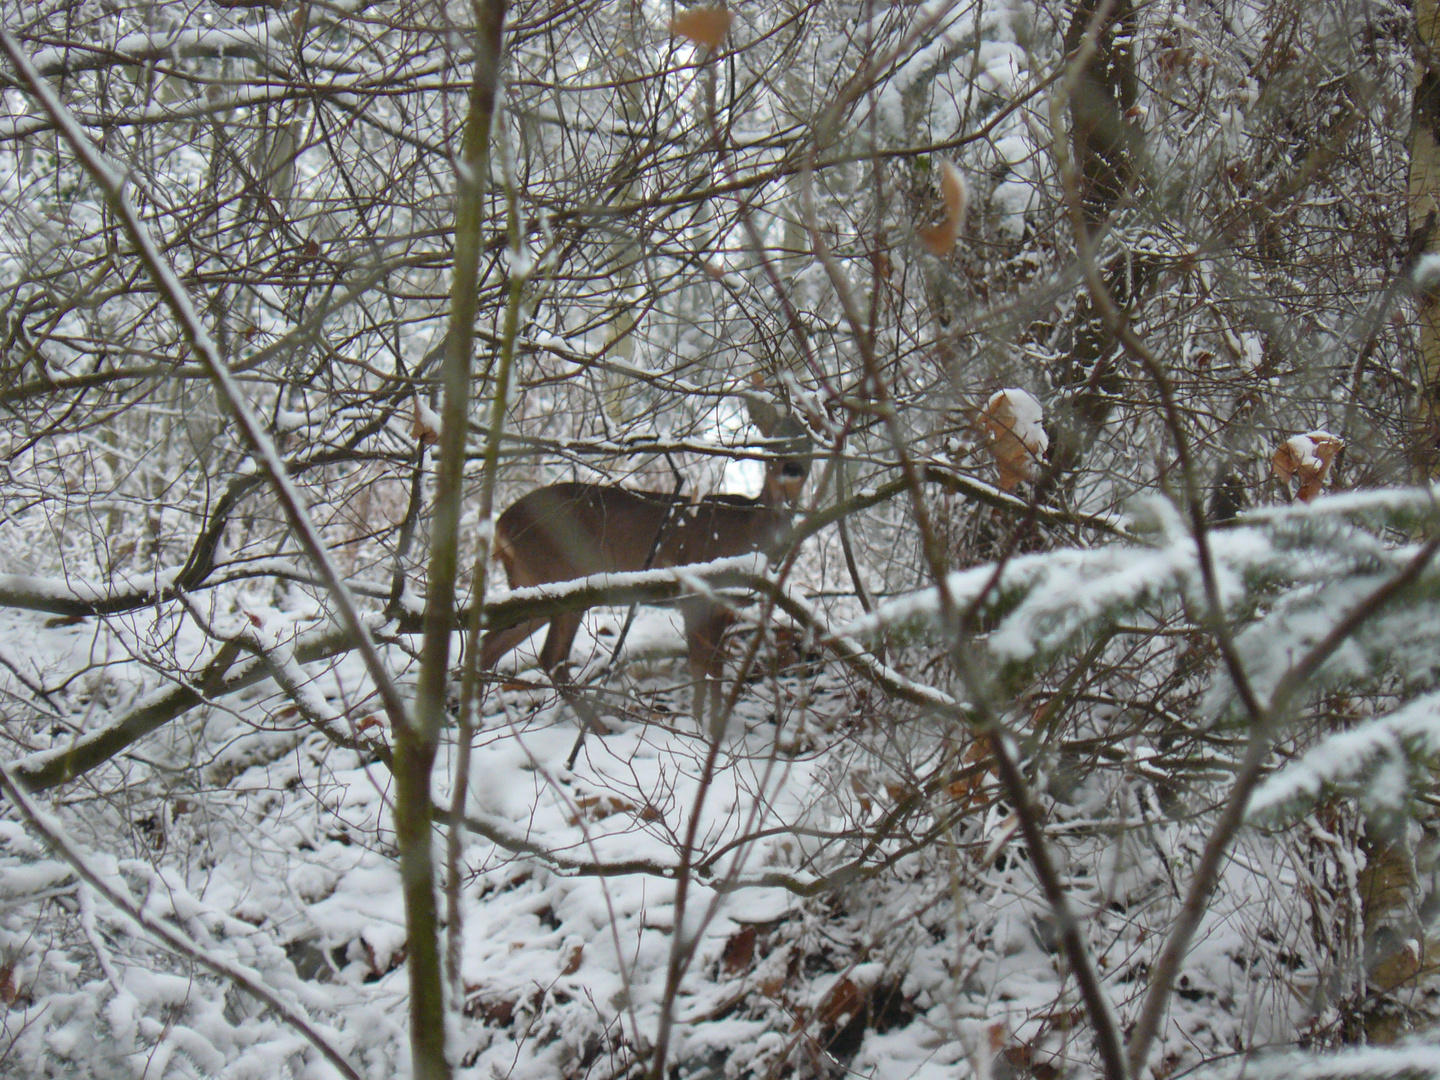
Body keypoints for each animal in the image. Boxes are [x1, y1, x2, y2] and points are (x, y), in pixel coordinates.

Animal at [480, 400, 812, 720]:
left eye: (808, 439)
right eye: (773, 439)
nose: (792, 467)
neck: (749, 530)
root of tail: (501, 525)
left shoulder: (722, 608)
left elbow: (715, 667)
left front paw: (715, 722)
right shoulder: (694, 596)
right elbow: (700, 665)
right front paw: (701, 725)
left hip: (530, 585)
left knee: (490, 645)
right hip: (563, 575)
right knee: (550, 656)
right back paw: (600, 725)